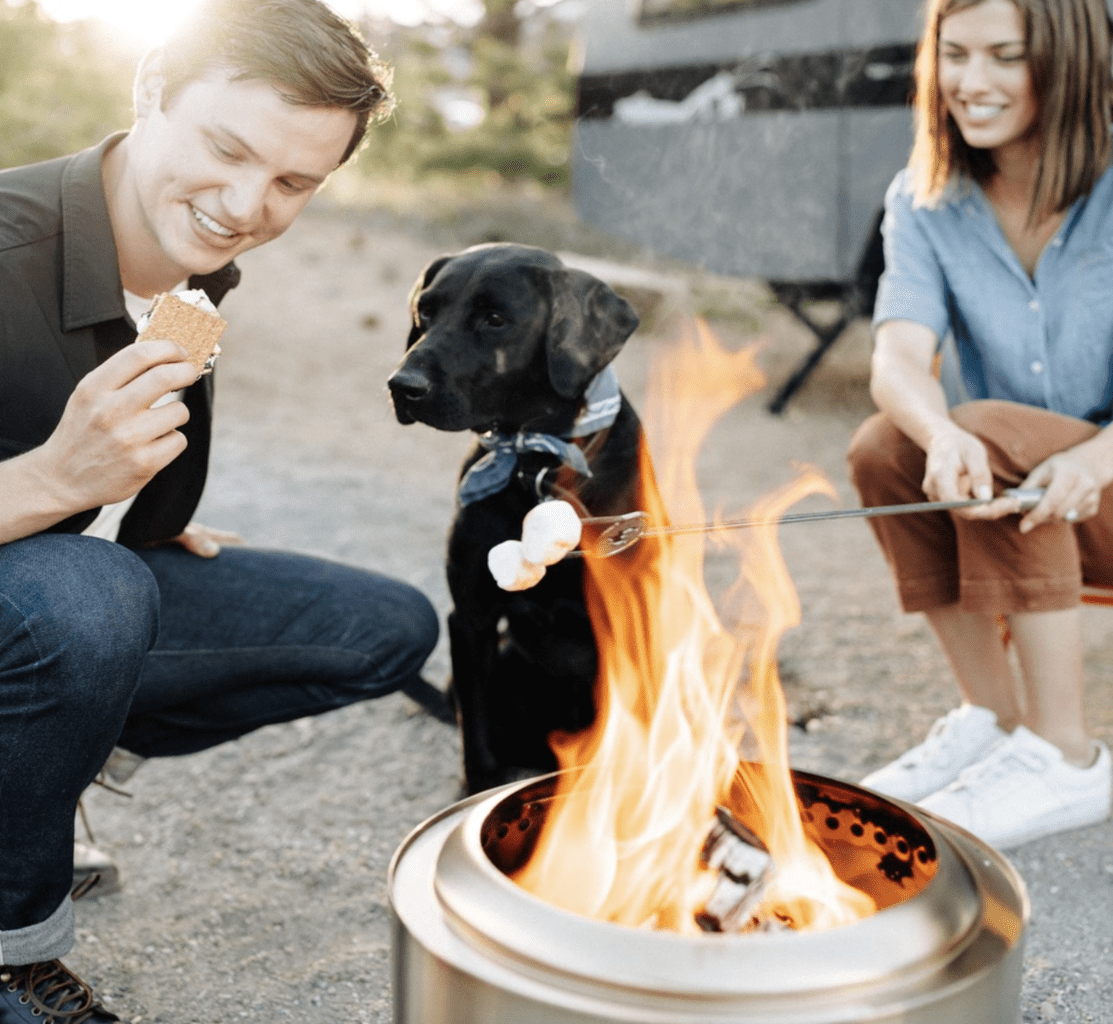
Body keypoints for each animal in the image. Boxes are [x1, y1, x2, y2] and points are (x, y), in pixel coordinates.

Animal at [389, 243, 645, 796]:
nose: (401, 386)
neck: (535, 467)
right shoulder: (472, 619)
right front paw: (476, 792)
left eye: (495, 319)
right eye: (425, 311)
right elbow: (475, 733)